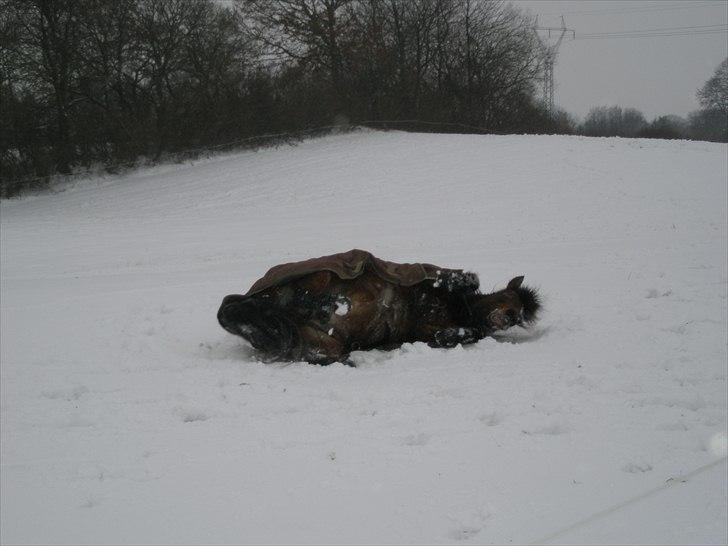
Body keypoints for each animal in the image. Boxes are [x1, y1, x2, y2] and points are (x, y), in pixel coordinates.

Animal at [216, 249, 540, 364]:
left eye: (521, 315)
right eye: (510, 302)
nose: (509, 318)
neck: (460, 309)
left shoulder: (427, 332)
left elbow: (455, 334)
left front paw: (451, 335)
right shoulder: (425, 276)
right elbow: (459, 278)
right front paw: (458, 280)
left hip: (325, 344)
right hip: (319, 277)